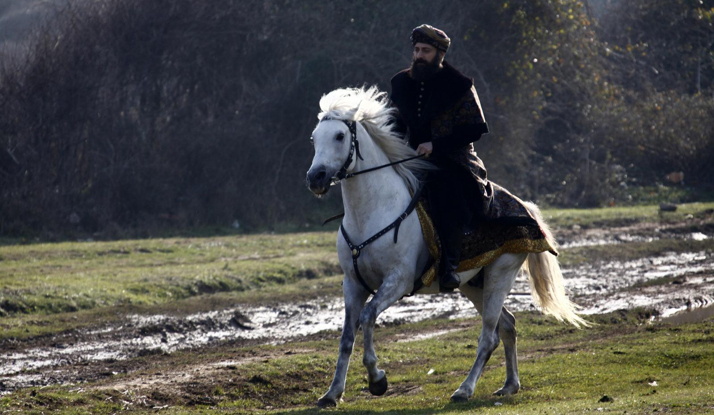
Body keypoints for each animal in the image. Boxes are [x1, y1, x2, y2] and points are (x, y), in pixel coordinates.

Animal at [304, 86, 584, 408]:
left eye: (339, 136)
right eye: (314, 138)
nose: (316, 178)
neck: (373, 212)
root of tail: (524, 207)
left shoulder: (397, 281)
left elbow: (368, 317)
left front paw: (377, 380)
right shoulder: (352, 284)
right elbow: (346, 337)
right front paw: (332, 393)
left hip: (500, 274)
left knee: (489, 336)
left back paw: (465, 389)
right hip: (474, 284)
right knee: (508, 325)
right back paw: (509, 385)